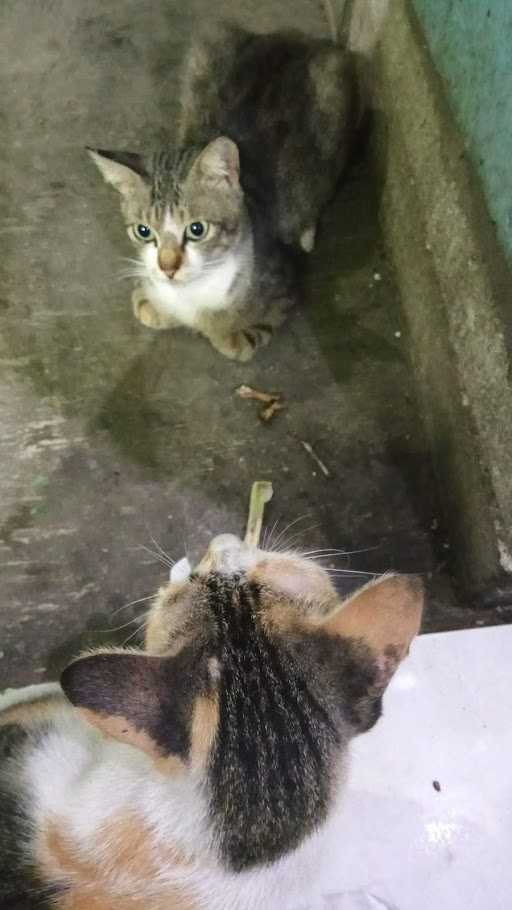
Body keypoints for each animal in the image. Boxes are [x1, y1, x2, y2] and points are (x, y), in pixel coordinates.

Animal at [89, 25, 360, 360]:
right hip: (208, 43)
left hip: (335, 92)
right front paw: (151, 301)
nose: (167, 267)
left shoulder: (281, 282)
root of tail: (295, 38)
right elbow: (146, 305)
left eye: (197, 229)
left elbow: (235, 337)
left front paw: (226, 332)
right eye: (143, 231)